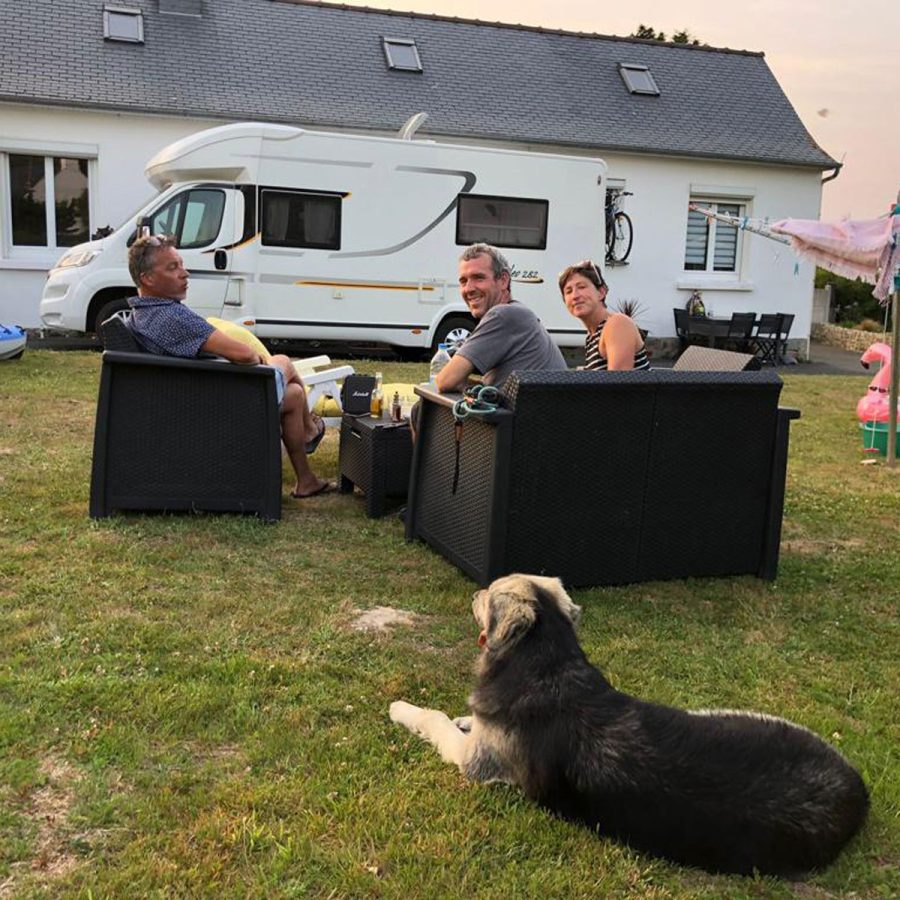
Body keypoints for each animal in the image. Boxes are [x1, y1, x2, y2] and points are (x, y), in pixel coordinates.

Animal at [390, 572, 868, 876]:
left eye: (489, 593)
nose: (474, 592)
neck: (546, 663)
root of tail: (857, 796)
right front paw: (465, 716)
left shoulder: (474, 763)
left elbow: (434, 719)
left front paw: (403, 709)